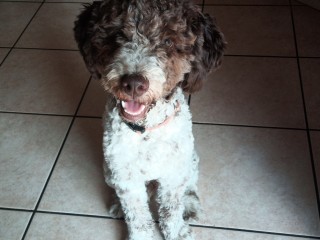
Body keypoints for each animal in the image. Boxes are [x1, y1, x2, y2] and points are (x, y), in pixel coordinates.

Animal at [74, 0, 225, 239]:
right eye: (117, 35)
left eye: (168, 41)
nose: (134, 83)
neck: (146, 131)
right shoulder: (126, 178)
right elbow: (137, 216)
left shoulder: (173, 175)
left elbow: (171, 210)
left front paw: (177, 232)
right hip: (108, 170)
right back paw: (117, 205)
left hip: (190, 161)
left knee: (190, 185)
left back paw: (190, 205)